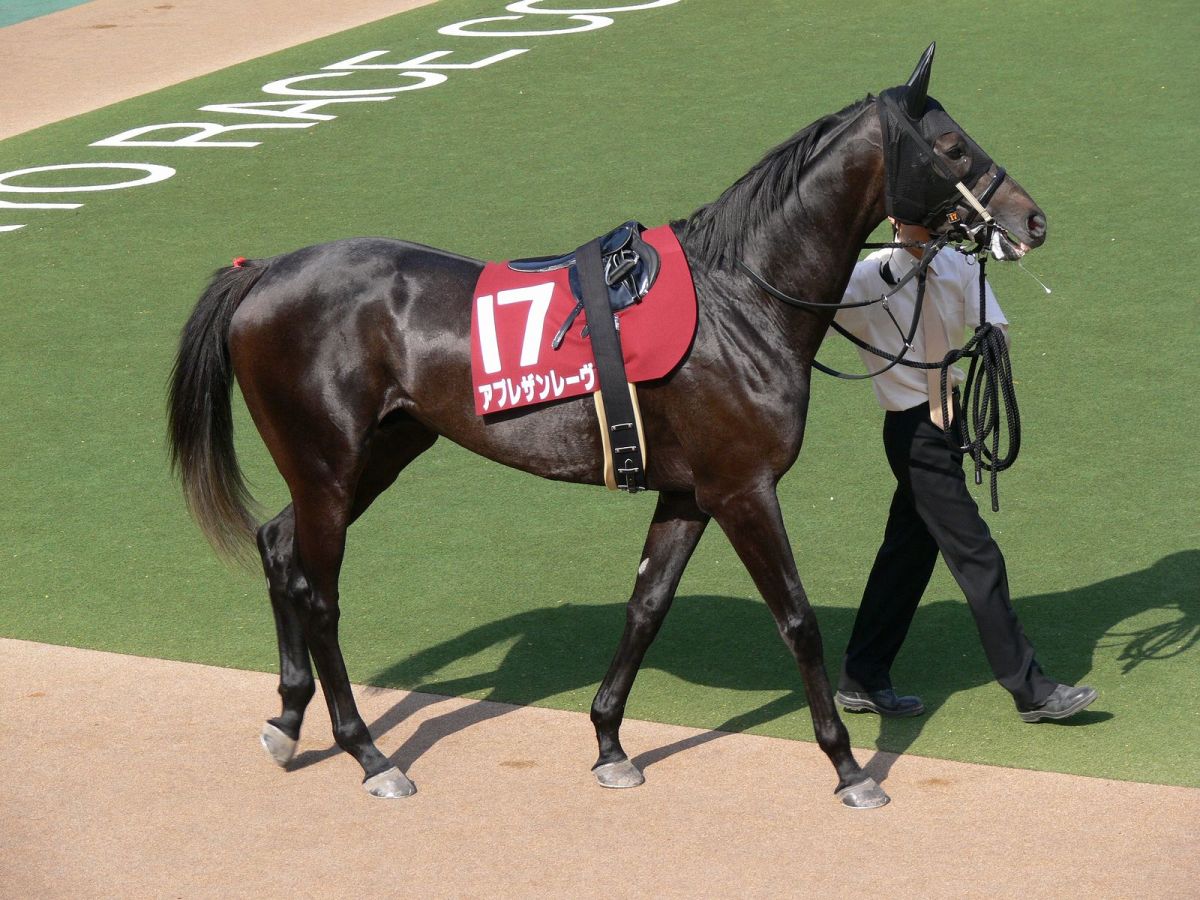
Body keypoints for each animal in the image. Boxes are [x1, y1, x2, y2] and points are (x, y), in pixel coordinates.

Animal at [168, 44, 1046, 809]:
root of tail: (263, 275)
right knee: (318, 594)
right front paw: (848, 766)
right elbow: (796, 622)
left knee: (279, 547)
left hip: (379, 453)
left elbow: (646, 607)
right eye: (952, 147)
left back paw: (288, 720)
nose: (1033, 220)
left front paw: (609, 743)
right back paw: (369, 753)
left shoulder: (690, 493)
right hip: (329, 465)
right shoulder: (744, 489)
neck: (741, 301)